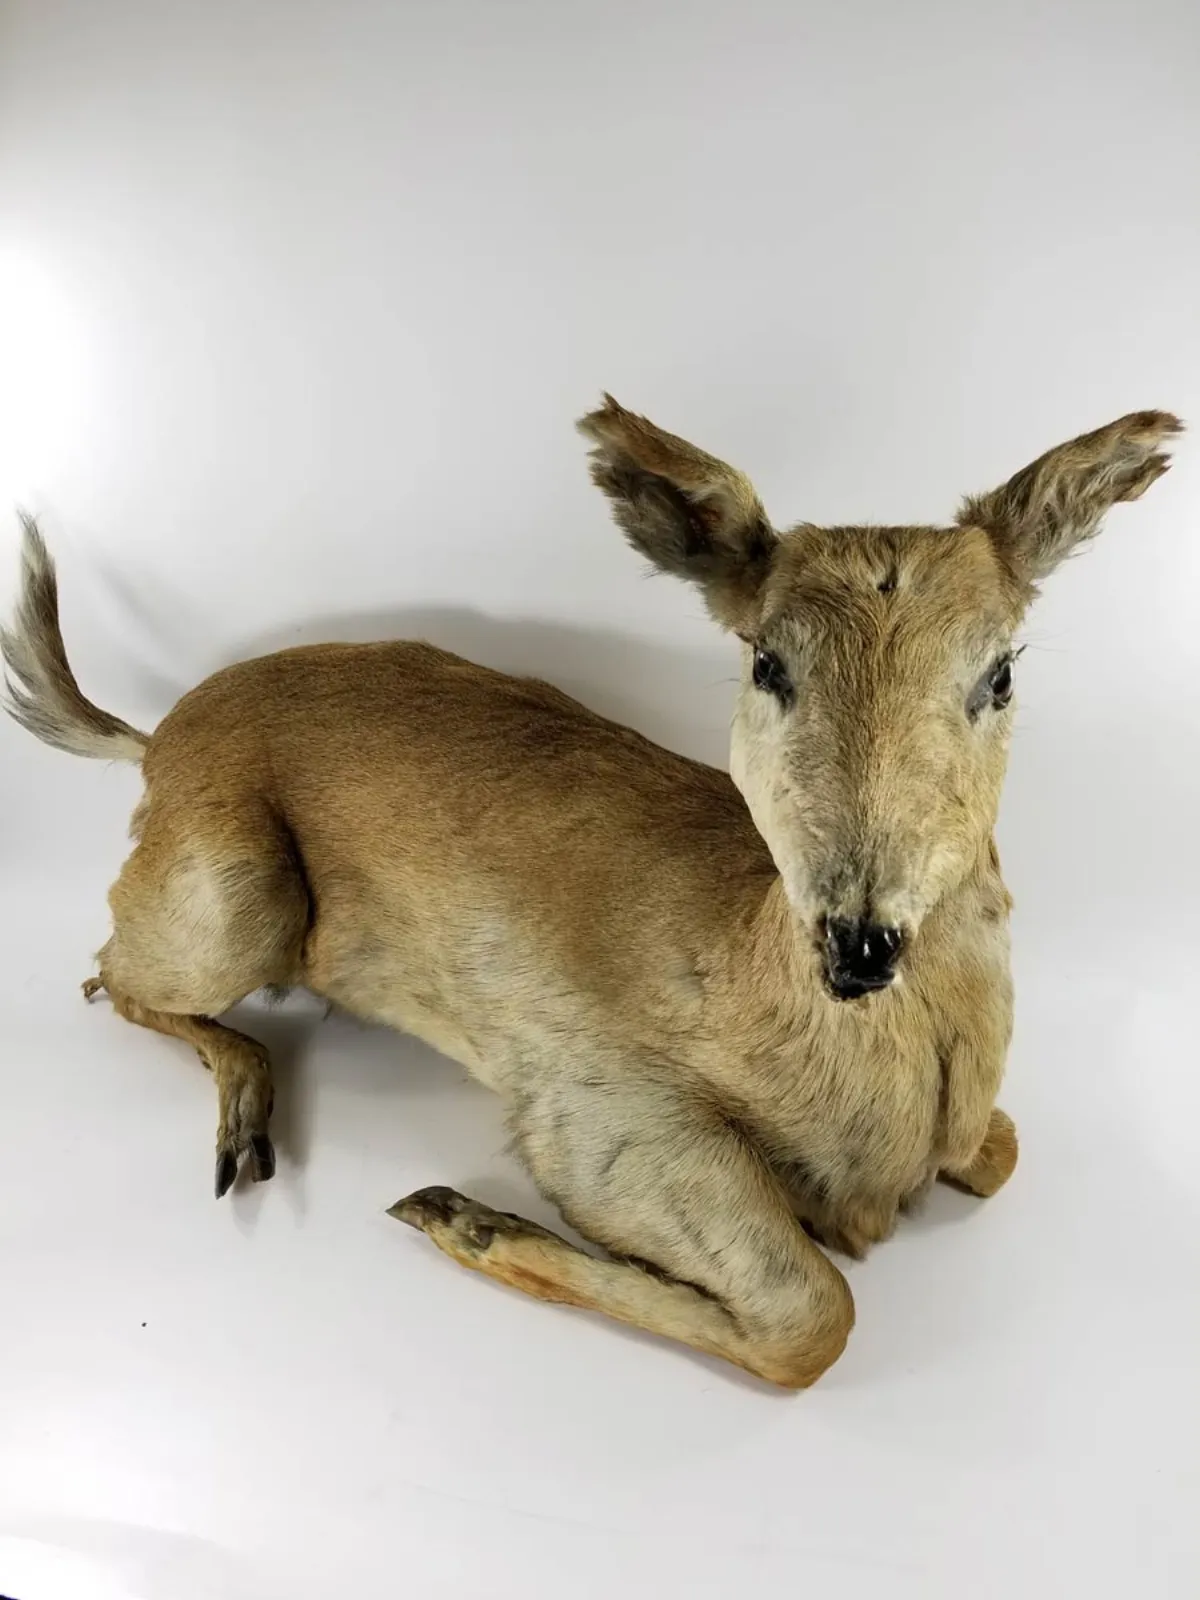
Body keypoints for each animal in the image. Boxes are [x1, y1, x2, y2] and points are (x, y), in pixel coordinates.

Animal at [1, 399, 1180, 1388]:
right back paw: (247, 1129)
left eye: (1001, 670)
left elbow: (1004, 1154)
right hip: (235, 902)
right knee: (106, 976)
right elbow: (814, 1318)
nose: (860, 941)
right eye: (767, 661)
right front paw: (461, 1216)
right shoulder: (593, 1111)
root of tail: (157, 737)